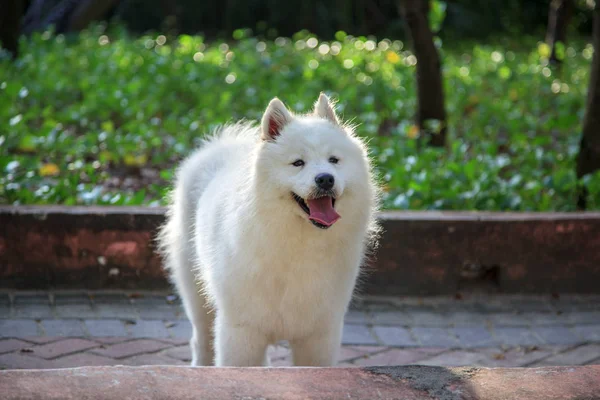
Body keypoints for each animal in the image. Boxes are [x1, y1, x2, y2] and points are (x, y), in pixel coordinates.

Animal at [157, 93, 378, 366]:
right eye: (298, 163)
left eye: (334, 160)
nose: (326, 179)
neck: (298, 245)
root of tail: (218, 145)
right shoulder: (242, 331)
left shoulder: (319, 334)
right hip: (195, 290)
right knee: (201, 339)